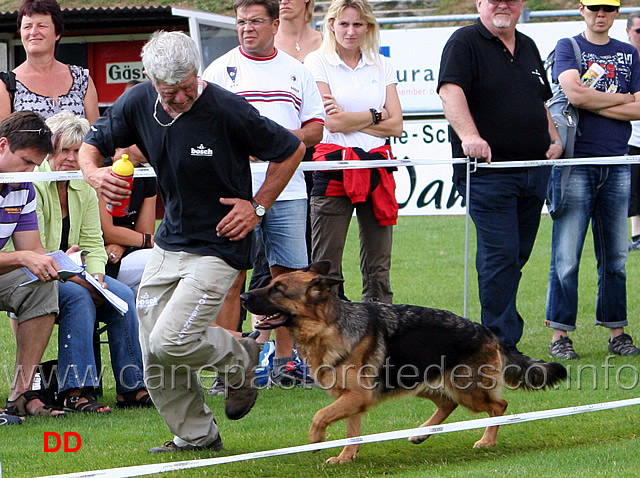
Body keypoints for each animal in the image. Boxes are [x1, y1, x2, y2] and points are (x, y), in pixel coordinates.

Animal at [240, 262, 564, 464]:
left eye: (278, 289)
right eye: (270, 284)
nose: (243, 296)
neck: (328, 325)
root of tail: (488, 331)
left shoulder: (355, 397)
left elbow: (320, 416)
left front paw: (316, 440)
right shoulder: (352, 399)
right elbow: (352, 431)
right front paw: (346, 457)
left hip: (466, 389)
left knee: (499, 406)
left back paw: (487, 440)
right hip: (421, 383)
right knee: (448, 403)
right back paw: (421, 433)